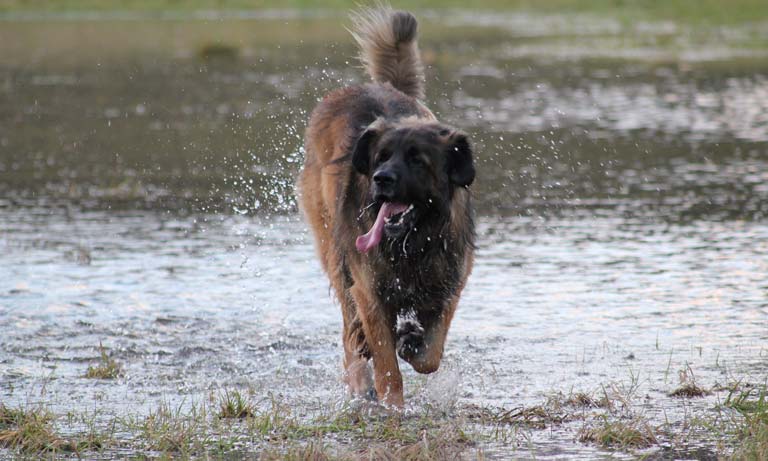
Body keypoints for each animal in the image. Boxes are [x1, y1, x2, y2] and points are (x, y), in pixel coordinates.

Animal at [298, 4, 474, 406]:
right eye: (381, 157)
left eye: (417, 160)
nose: (381, 179)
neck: (414, 241)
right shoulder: (369, 290)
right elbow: (386, 362)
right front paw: (394, 406)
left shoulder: (450, 283)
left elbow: (432, 353)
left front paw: (412, 341)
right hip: (335, 252)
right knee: (349, 332)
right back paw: (360, 381)